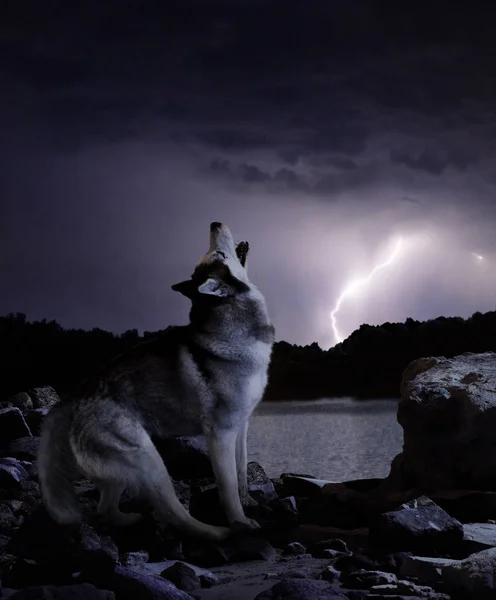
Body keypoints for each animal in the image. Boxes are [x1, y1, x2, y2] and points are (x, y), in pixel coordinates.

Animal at [38, 220, 276, 540]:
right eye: (219, 255)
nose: (214, 223)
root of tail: (73, 396)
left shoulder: (242, 425)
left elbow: (240, 473)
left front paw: (249, 501)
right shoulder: (221, 433)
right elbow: (228, 489)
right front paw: (240, 521)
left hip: (121, 468)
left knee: (104, 509)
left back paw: (128, 520)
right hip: (149, 461)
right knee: (174, 513)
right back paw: (215, 532)